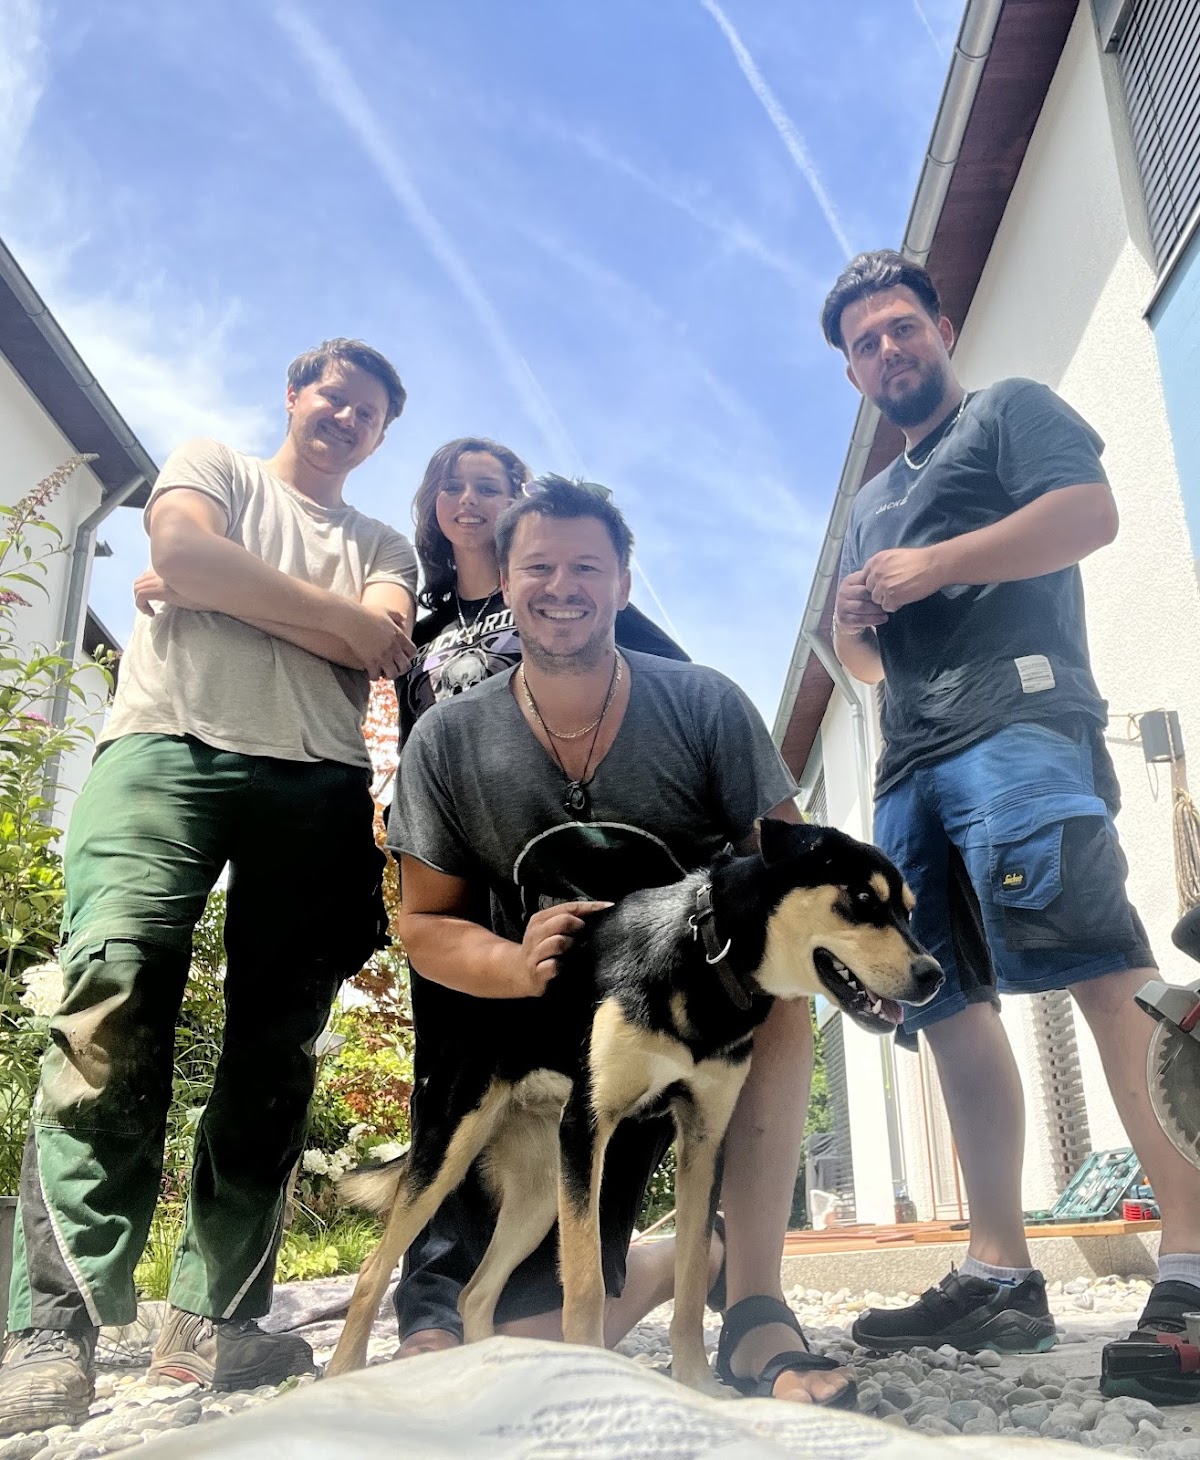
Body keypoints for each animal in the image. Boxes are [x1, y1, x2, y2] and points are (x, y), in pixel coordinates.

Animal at [326, 817, 942, 1388]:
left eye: (910, 912)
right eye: (861, 900)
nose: (933, 975)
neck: (705, 956)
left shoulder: (702, 1142)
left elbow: (690, 1281)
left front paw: (698, 1385)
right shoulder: (589, 1125)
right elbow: (586, 1285)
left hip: (542, 1184)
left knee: (475, 1293)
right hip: (456, 1145)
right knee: (375, 1272)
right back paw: (342, 1372)